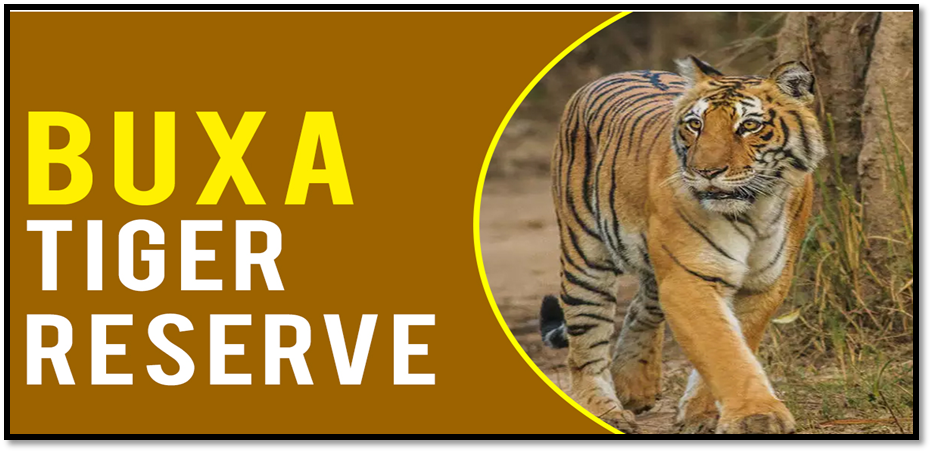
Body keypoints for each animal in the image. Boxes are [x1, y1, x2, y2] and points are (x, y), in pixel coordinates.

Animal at [538, 56, 825, 434]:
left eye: (749, 125)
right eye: (695, 125)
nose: (707, 171)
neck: (755, 210)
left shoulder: (765, 282)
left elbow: (737, 343)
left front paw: (702, 414)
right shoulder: (690, 277)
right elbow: (723, 349)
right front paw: (756, 416)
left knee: (642, 306)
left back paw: (634, 385)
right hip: (584, 254)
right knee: (586, 343)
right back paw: (604, 410)